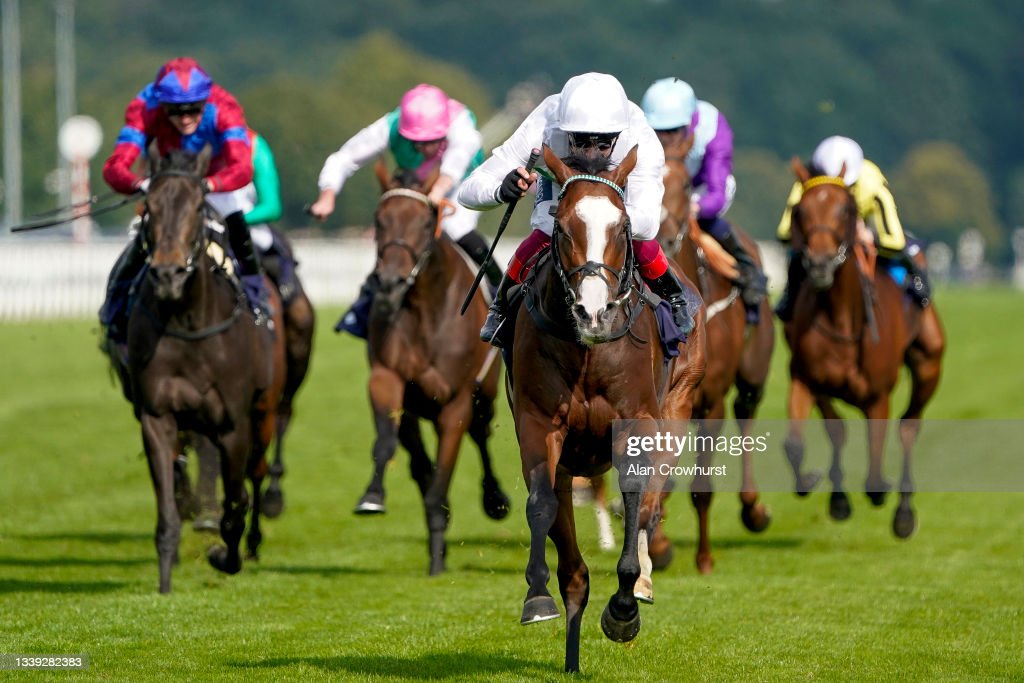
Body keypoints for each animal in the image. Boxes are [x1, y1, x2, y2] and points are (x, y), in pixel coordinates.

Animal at [122, 144, 286, 593]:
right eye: (148, 207)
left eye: (198, 206)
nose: (168, 273)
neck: (188, 322)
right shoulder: (157, 416)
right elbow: (168, 512)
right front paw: (164, 583)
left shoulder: (233, 423)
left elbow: (235, 505)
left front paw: (223, 557)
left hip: (264, 413)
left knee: (255, 475)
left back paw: (254, 540)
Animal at [354, 160, 509, 577]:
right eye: (379, 219)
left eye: (425, 222)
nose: (390, 283)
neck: (425, 309)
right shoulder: (387, 378)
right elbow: (386, 442)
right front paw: (372, 495)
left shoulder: (456, 402)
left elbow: (442, 477)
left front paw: (438, 556)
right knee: (414, 454)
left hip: (485, 395)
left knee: (481, 435)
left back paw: (495, 499)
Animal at [509, 144, 704, 671]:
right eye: (560, 227)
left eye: (621, 227)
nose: (593, 313)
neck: (589, 351)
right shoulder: (539, 423)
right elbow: (542, 505)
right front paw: (538, 597)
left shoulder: (636, 422)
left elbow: (635, 499)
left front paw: (623, 607)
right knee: (573, 558)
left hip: (676, 411)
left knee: (653, 505)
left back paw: (643, 583)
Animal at [655, 133, 774, 573]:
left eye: (686, 184)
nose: (664, 237)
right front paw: (659, 544)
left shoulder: (711, 401)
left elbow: (701, 487)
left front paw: (704, 558)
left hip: (752, 374)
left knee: (746, 412)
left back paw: (754, 509)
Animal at [782, 157, 942, 536]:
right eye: (800, 211)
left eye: (846, 209)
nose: (820, 264)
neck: (842, 318)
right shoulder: (805, 377)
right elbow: (804, 441)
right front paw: (823, 490)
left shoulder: (877, 396)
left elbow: (873, 474)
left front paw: (880, 491)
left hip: (929, 363)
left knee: (909, 426)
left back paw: (904, 513)